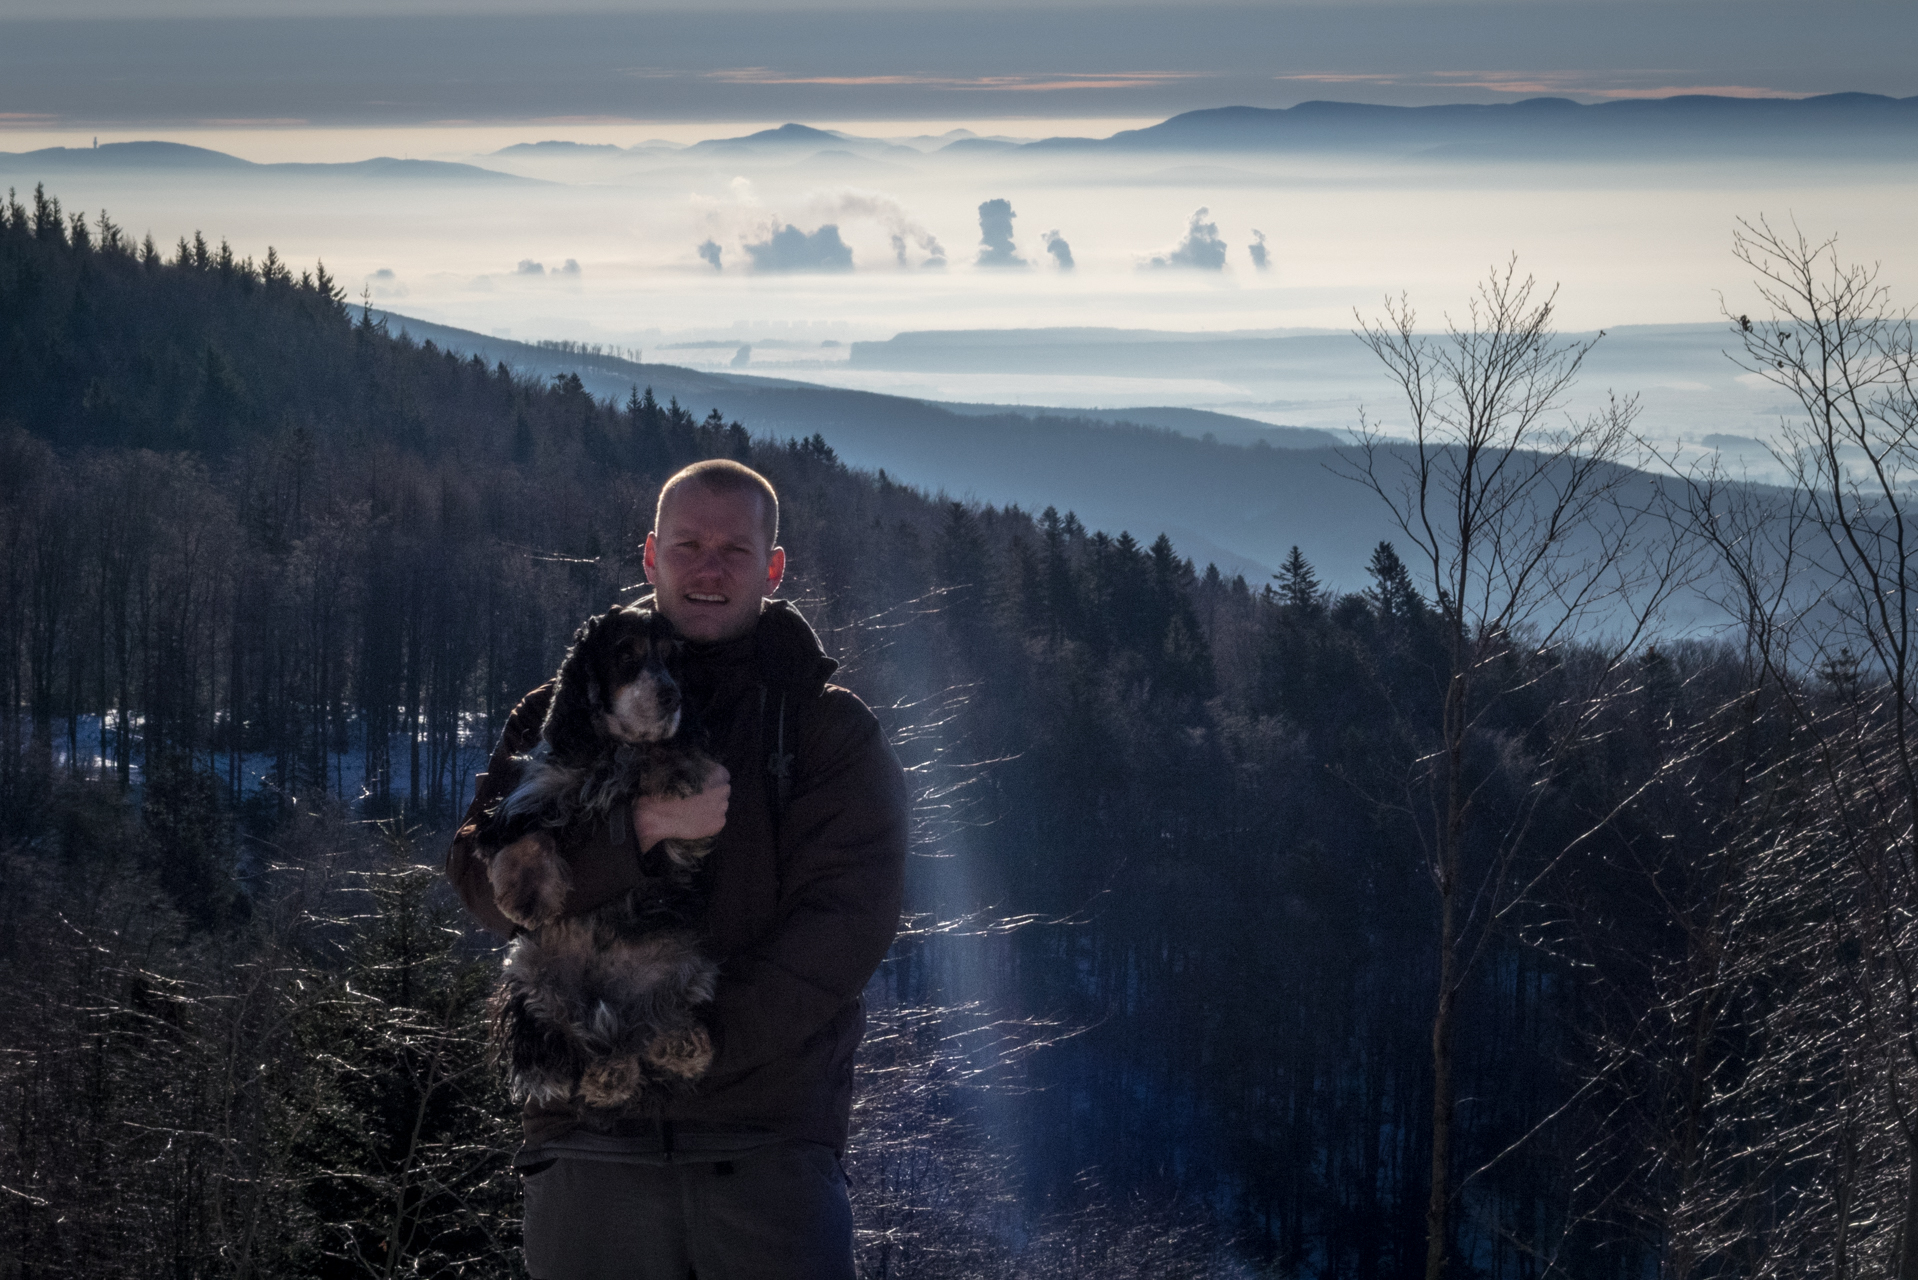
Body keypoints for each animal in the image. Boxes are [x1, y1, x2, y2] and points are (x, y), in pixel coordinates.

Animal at [475, 602, 721, 1113]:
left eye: (672, 658)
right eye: (625, 654)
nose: (671, 696)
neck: (610, 750)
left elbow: (665, 758)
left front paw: (672, 766)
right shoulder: (528, 796)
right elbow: (529, 837)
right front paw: (527, 896)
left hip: (686, 966)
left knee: (647, 1032)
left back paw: (674, 1047)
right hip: (528, 972)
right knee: (560, 1043)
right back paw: (598, 1071)